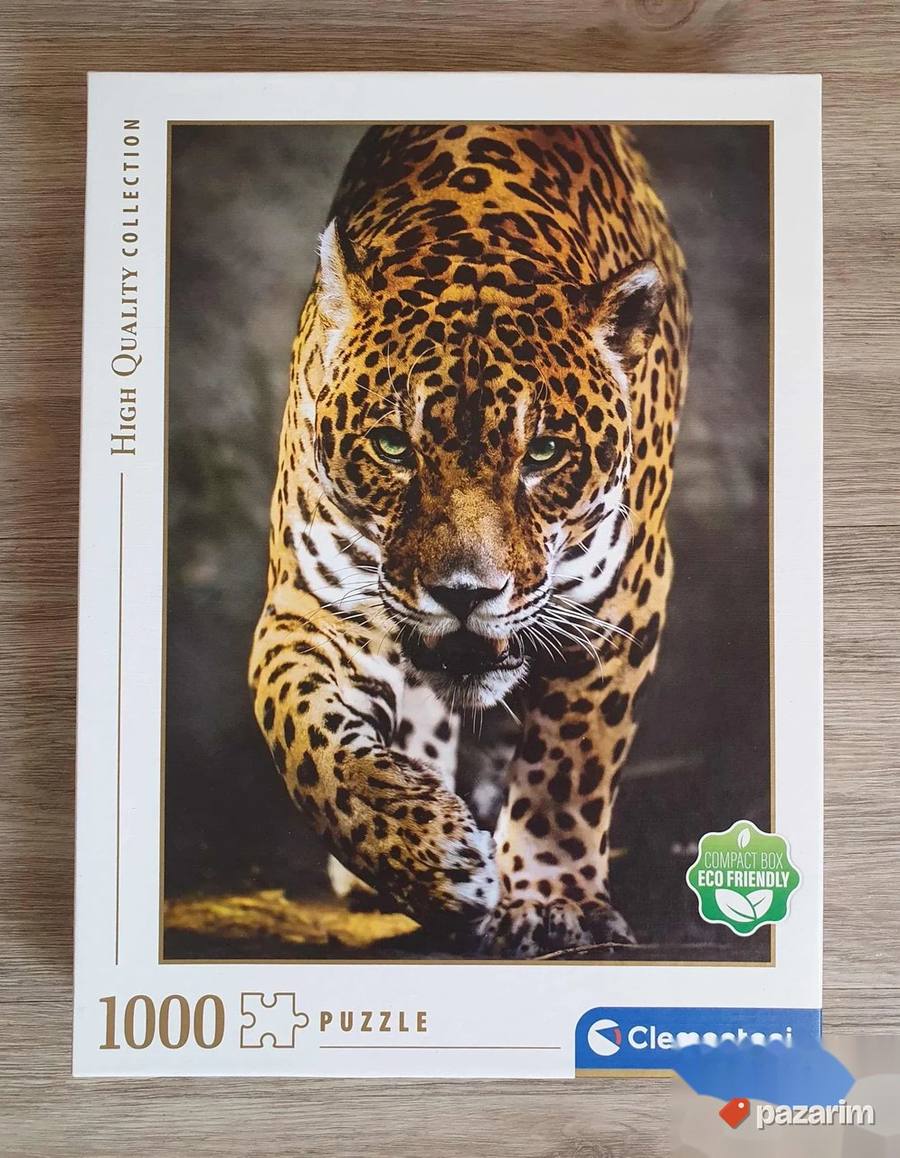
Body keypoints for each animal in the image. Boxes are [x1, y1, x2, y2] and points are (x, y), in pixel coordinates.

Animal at [249, 123, 690, 957]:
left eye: (543, 453)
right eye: (393, 446)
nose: (464, 594)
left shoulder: (621, 603)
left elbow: (568, 768)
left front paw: (553, 902)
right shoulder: (310, 608)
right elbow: (305, 742)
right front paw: (429, 858)